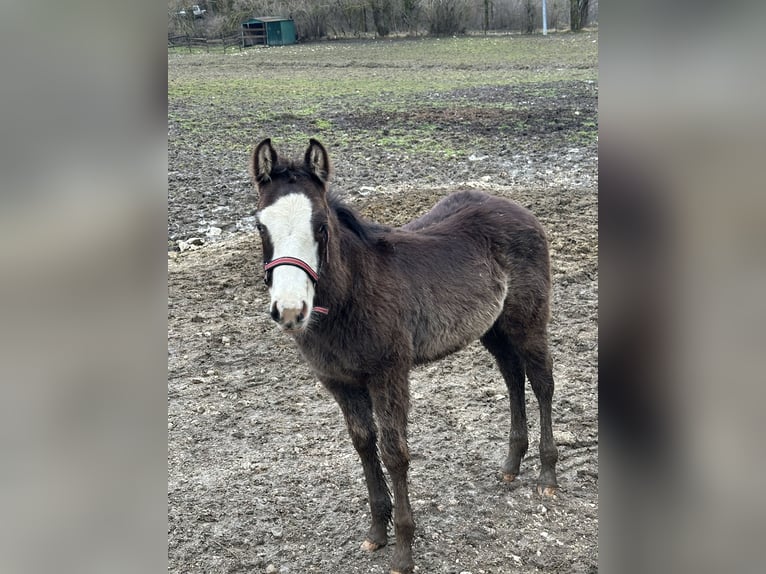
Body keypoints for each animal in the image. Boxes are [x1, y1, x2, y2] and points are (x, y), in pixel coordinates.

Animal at [250, 138, 558, 574]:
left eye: (321, 226)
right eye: (261, 226)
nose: (291, 310)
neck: (351, 296)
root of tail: (517, 208)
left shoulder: (389, 374)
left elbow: (395, 453)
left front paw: (403, 550)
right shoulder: (339, 382)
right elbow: (364, 444)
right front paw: (377, 532)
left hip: (528, 321)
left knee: (542, 382)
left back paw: (547, 476)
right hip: (493, 328)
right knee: (513, 378)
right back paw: (511, 466)